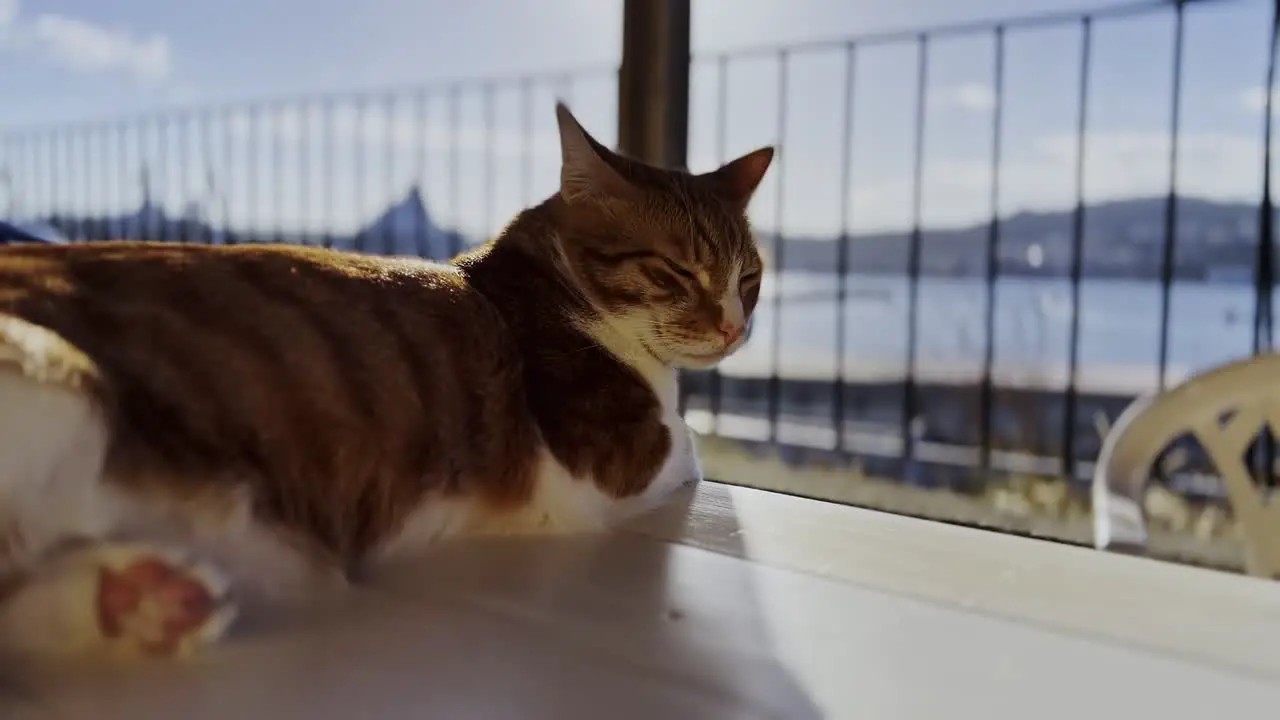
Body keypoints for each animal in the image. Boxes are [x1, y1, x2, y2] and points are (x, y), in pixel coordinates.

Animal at [0, 101, 768, 655]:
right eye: (675, 273)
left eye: (749, 279)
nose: (734, 328)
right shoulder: (615, 459)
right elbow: (688, 443)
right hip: (62, 384)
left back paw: (142, 603)